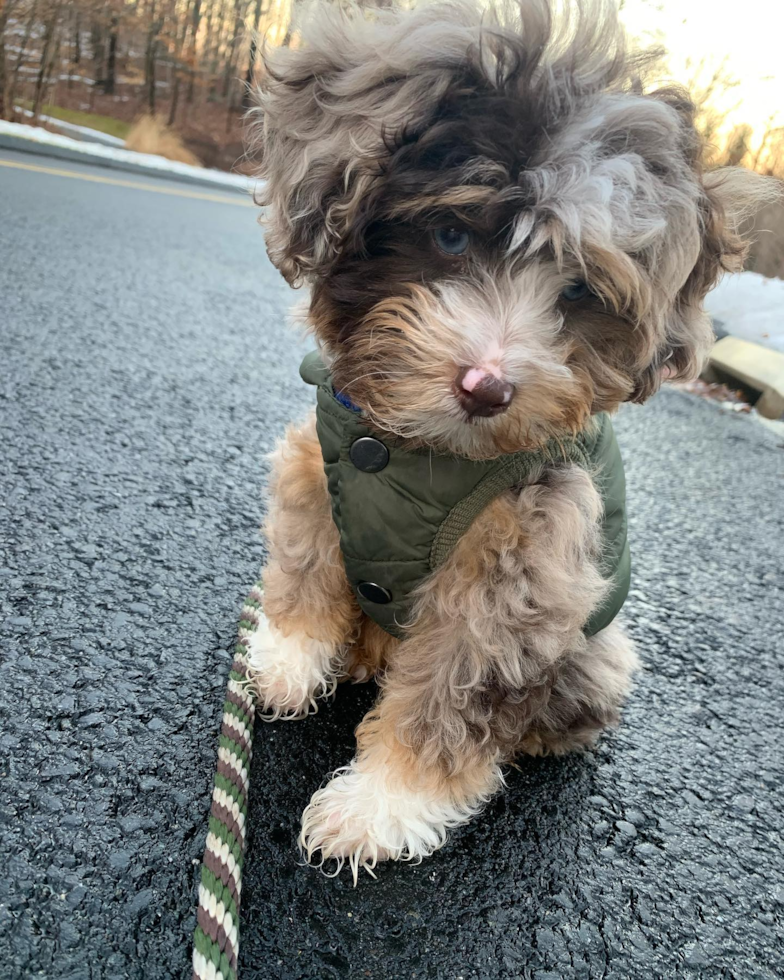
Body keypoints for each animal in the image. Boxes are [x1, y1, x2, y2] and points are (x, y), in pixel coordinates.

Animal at [247, 0, 772, 880]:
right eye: (453, 236)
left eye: (577, 292)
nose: (487, 387)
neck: (417, 454)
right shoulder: (320, 460)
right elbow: (308, 563)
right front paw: (287, 659)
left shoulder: (522, 564)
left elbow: (456, 688)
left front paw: (383, 805)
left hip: (597, 653)